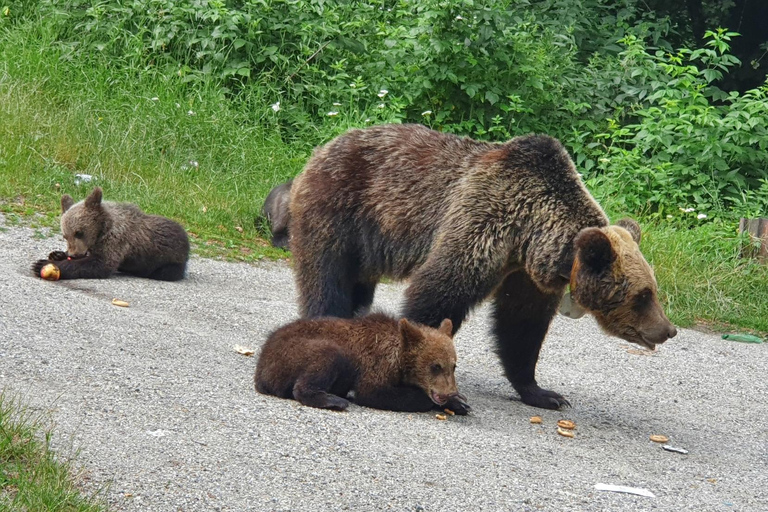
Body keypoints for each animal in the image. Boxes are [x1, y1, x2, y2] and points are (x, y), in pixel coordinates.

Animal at [290, 123, 680, 408]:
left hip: (365, 244)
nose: (668, 329)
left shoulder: (526, 275)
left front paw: (544, 393)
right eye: (643, 295)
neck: (530, 233)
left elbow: (521, 327)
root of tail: (326, 145)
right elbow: (437, 293)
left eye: (653, 290)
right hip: (340, 212)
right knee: (327, 281)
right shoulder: (482, 224)